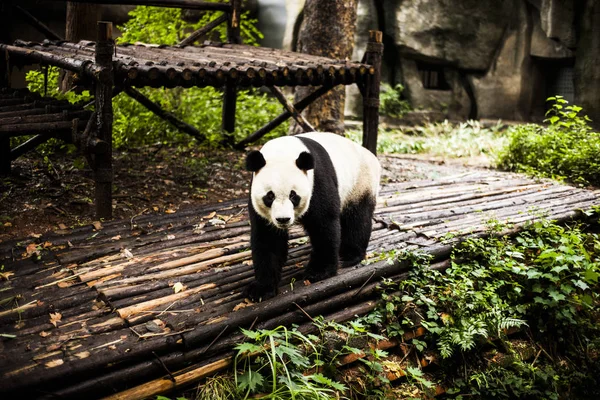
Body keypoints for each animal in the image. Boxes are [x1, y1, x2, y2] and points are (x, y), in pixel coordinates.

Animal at [244, 133, 380, 302]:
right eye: (270, 196)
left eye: (293, 195)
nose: (283, 219)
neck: (282, 152)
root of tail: (371, 155)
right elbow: (268, 238)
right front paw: (262, 289)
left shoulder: (317, 182)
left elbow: (323, 224)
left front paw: (318, 272)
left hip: (360, 183)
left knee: (357, 219)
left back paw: (349, 255)